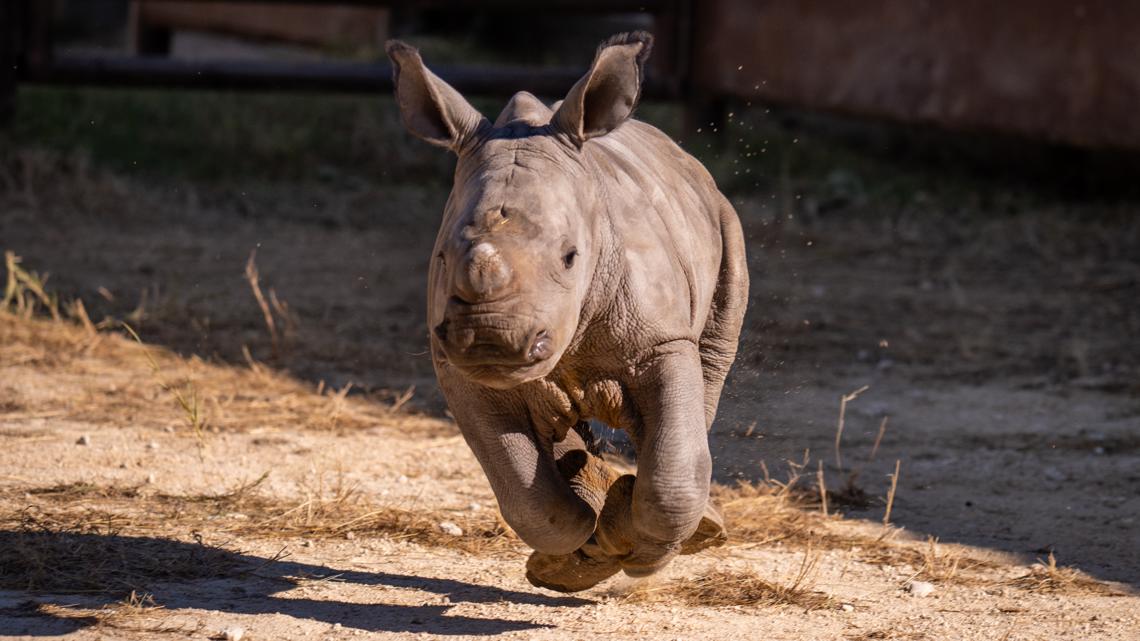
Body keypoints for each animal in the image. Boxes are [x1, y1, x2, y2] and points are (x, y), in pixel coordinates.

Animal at [385, 32, 748, 592]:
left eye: (571, 256)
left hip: (724, 224)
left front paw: (637, 550)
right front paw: (575, 559)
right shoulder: (454, 365)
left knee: (707, 365)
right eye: (442, 257)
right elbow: (522, 489)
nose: (491, 340)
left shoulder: (660, 341)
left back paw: (695, 524)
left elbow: (672, 476)